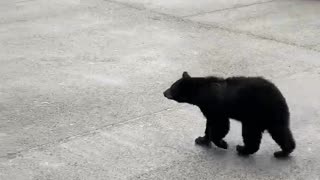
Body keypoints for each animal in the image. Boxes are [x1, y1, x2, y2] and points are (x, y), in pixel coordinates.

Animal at [164, 71, 296, 158]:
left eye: (172, 87)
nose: (164, 92)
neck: (201, 91)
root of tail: (279, 95)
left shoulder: (214, 107)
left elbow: (220, 125)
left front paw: (222, 143)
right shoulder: (209, 109)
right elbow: (209, 125)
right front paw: (202, 139)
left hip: (256, 114)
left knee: (252, 134)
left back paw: (243, 149)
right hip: (271, 116)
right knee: (281, 131)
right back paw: (285, 151)